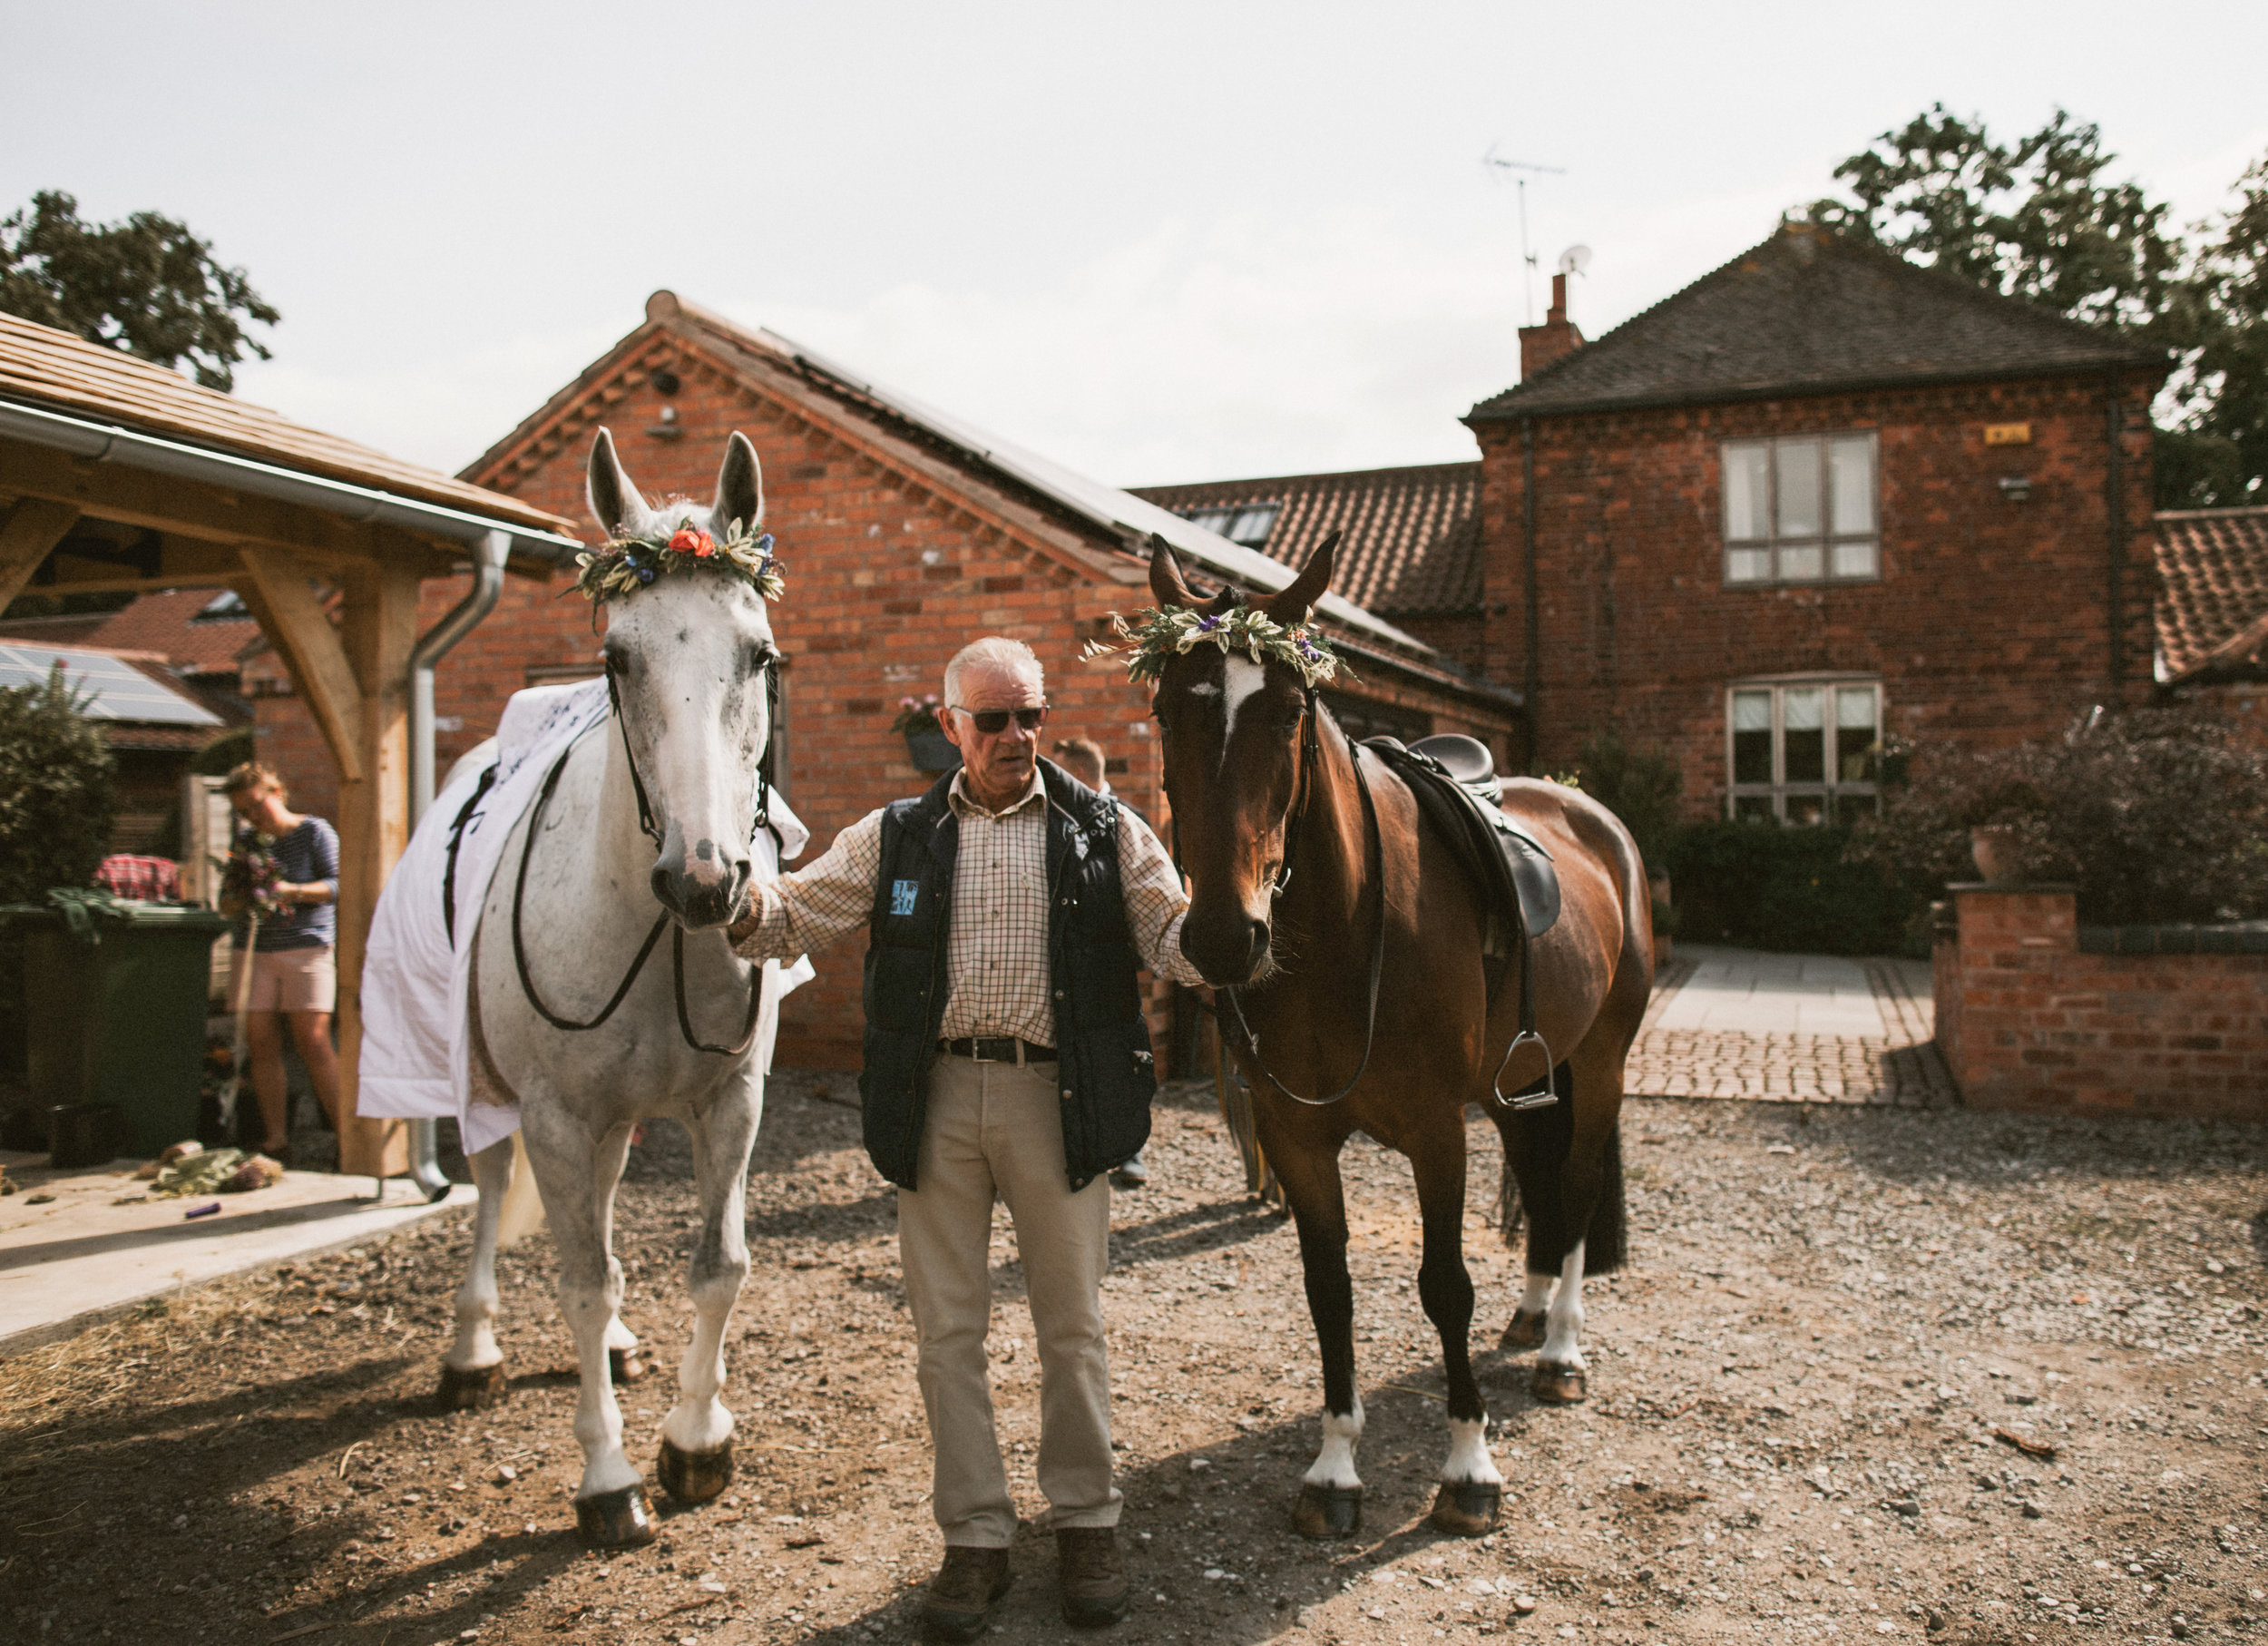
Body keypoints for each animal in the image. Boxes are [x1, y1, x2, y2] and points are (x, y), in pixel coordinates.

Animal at [433, 426, 789, 1551]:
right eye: (614, 658)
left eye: (758, 654)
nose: (705, 878)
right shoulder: (552, 1112)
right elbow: (579, 1282)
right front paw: (607, 1476)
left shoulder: (731, 1101)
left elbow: (717, 1264)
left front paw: (695, 1439)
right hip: (489, 1091)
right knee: (491, 1189)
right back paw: (471, 1351)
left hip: (615, 1120)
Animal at [1152, 534, 1651, 1542]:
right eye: (1162, 710)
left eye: (1290, 712)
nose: (1224, 936)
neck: (1342, 933)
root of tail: (1594, 816)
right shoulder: (1297, 1140)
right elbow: (1328, 1290)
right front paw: (1335, 1467)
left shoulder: (1434, 1131)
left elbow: (1444, 1283)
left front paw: (1468, 1466)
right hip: (1516, 1085)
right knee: (1540, 1183)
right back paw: (1531, 1310)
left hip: (1600, 1061)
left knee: (1576, 1188)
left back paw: (1562, 1347)